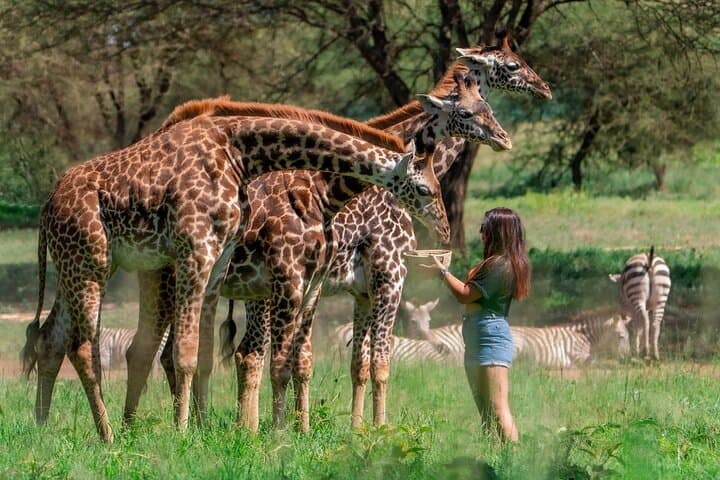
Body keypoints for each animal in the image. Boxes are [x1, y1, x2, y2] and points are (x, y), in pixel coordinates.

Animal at [20, 110, 447, 442]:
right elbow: (192, 353)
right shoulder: (201, 252)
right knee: (87, 347)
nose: (442, 229)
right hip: (93, 264)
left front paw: (207, 429)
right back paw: (108, 435)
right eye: (426, 189)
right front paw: (193, 432)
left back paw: (45, 428)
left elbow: (209, 354)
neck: (240, 153)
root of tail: (47, 206)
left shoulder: (222, 260)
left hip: (83, 265)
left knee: (52, 339)